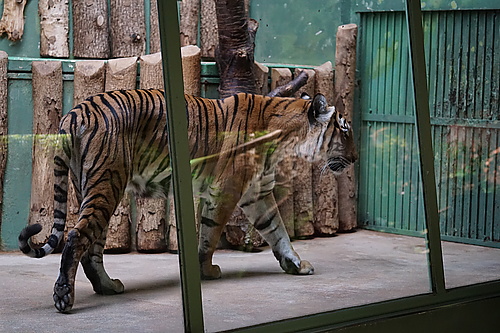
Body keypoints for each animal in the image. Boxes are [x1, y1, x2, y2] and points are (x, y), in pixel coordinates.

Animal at [18, 88, 356, 312]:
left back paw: (109, 287)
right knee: (77, 238)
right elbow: (210, 235)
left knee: (92, 249)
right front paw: (207, 270)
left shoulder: (256, 193)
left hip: (94, 188)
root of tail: (76, 111)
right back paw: (64, 297)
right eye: (344, 130)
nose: (354, 158)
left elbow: (277, 230)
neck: (286, 139)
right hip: (106, 185)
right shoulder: (228, 190)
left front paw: (295, 264)